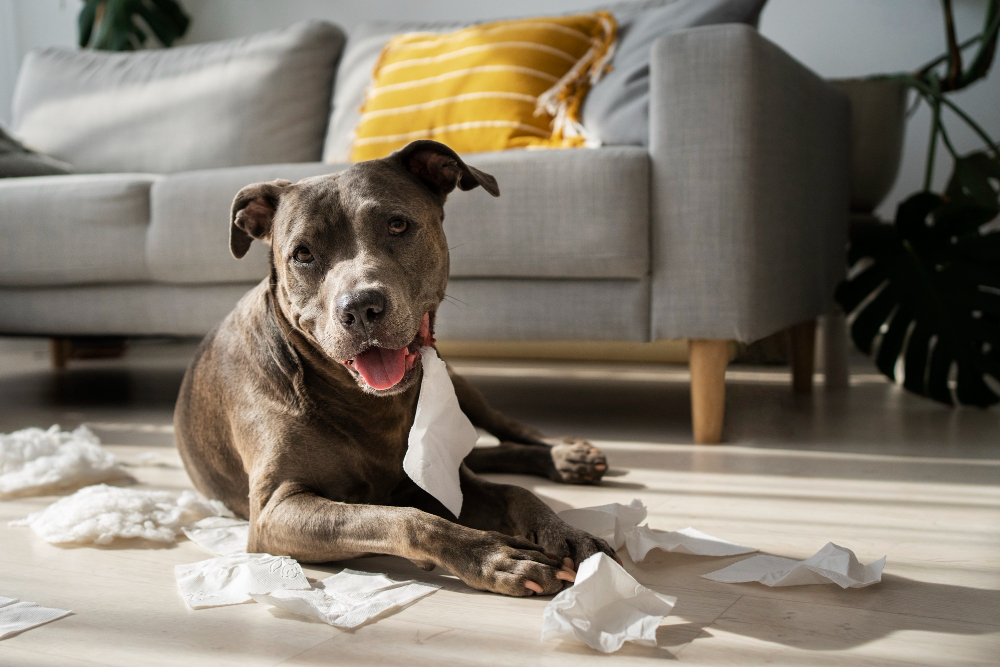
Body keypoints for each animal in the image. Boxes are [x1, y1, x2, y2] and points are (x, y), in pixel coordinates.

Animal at [176, 140, 620, 596]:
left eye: (398, 225)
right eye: (302, 254)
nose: (360, 307)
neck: (367, 403)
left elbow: (517, 493)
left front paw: (567, 535)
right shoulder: (275, 511)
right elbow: (407, 519)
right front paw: (496, 557)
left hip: (461, 388)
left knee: (512, 429)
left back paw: (568, 455)